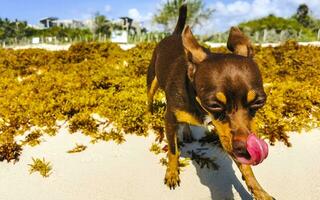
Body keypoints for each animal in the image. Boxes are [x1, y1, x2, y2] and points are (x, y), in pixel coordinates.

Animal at [146, 3, 274, 200]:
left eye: (259, 102)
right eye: (213, 104)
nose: (244, 149)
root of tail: (175, 34)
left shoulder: (228, 135)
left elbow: (246, 167)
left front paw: (259, 191)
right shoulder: (169, 120)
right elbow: (173, 151)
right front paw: (172, 172)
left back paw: (187, 132)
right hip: (152, 80)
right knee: (149, 97)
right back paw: (149, 114)